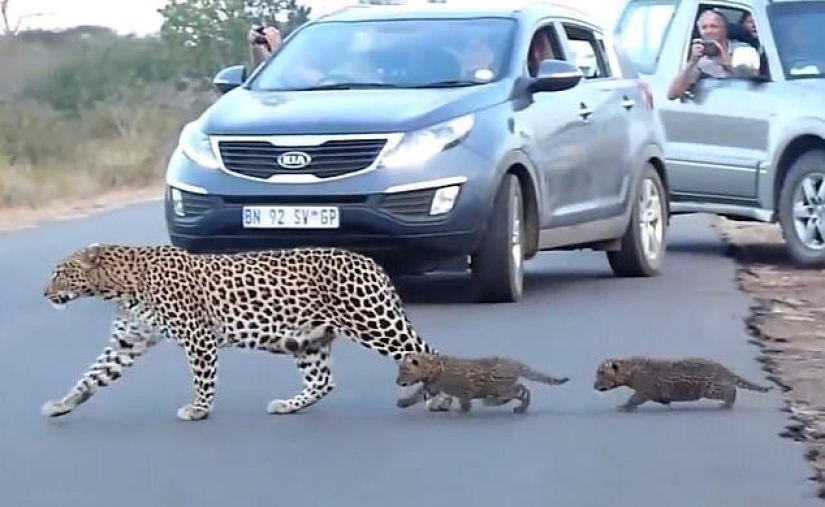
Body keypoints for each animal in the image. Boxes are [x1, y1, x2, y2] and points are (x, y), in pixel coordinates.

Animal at [41, 242, 456, 421]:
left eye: (60, 273)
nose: (44, 293)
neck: (119, 286)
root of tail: (371, 261)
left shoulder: (197, 335)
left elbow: (202, 377)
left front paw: (198, 410)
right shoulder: (127, 341)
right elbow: (93, 375)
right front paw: (63, 403)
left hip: (374, 322)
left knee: (425, 353)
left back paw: (440, 400)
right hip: (307, 339)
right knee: (322, 381)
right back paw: (288, 405)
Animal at [395, 352, 570, 414]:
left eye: (403, 371)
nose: (397, 380)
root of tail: (515, 363)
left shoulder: (464, 389)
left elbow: (464, 401)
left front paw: (464, 411)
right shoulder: (431, 389)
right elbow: (417, 395)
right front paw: (403, 402)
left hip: (500, 387)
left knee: (521, 391)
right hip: (503, 387)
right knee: (522, 389)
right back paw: (518, 407)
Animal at [593, 356, 773, 411]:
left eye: (601, 373)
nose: (594, 386)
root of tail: (722, 367)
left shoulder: (644, 390)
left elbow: (634, 399)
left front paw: (625, 407)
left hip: (711, 388)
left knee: (731, 390)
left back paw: (727, 404)